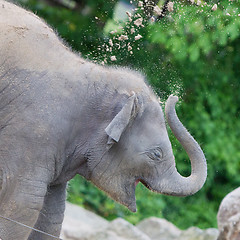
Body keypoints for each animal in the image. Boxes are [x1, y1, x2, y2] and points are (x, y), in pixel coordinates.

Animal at [0, 0, 206, 239]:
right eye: (156, 154)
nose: (175, 96)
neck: (98, 78)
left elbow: (52, 213)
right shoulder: (32, 132)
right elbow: (23, 205)